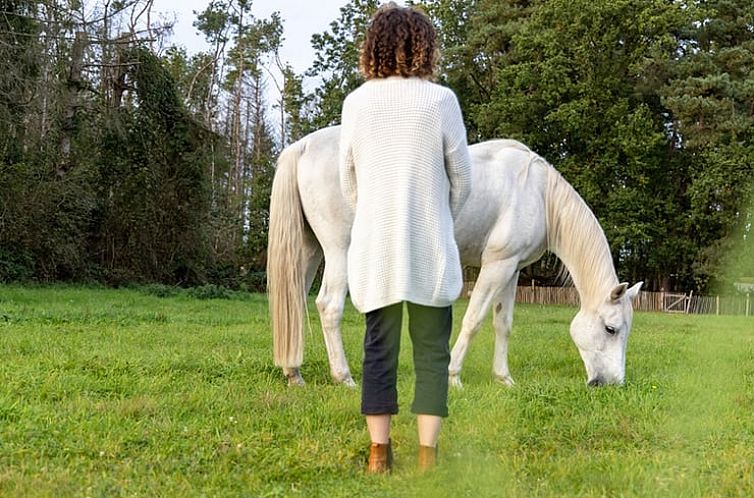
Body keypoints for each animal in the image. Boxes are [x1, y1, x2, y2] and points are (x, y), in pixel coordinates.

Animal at [266, 125, 640, 390]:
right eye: (610, 328)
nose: (611, 384)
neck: (536, 192)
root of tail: (304, 146)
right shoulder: (496, 265)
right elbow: (474, 319)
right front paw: (453, 376)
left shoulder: (512, 269)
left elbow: (503, 323)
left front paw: (504, 379)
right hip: (339, 250)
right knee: (329, 307)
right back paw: (343, 377)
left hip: (309, 250)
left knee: (294, 303)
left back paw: (293, 372)